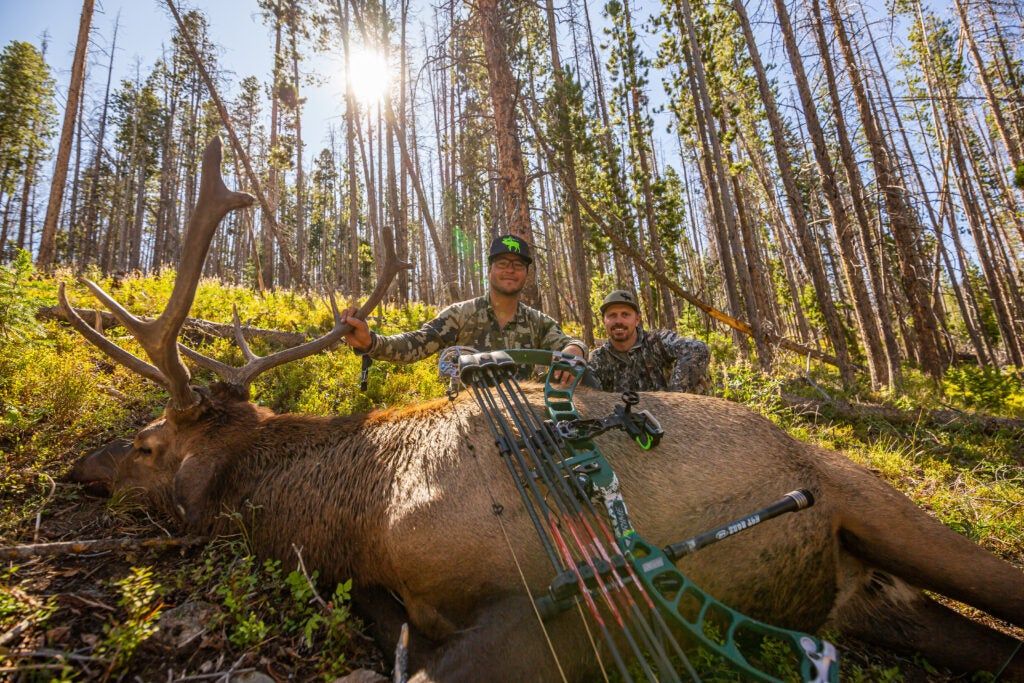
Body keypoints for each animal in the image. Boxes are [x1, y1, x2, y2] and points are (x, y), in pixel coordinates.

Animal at [63, 138, 1023, 682]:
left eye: (147, 442)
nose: (79, 467)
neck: (356, 512)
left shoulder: (552, 604)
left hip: (867, 496)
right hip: (868, 597)